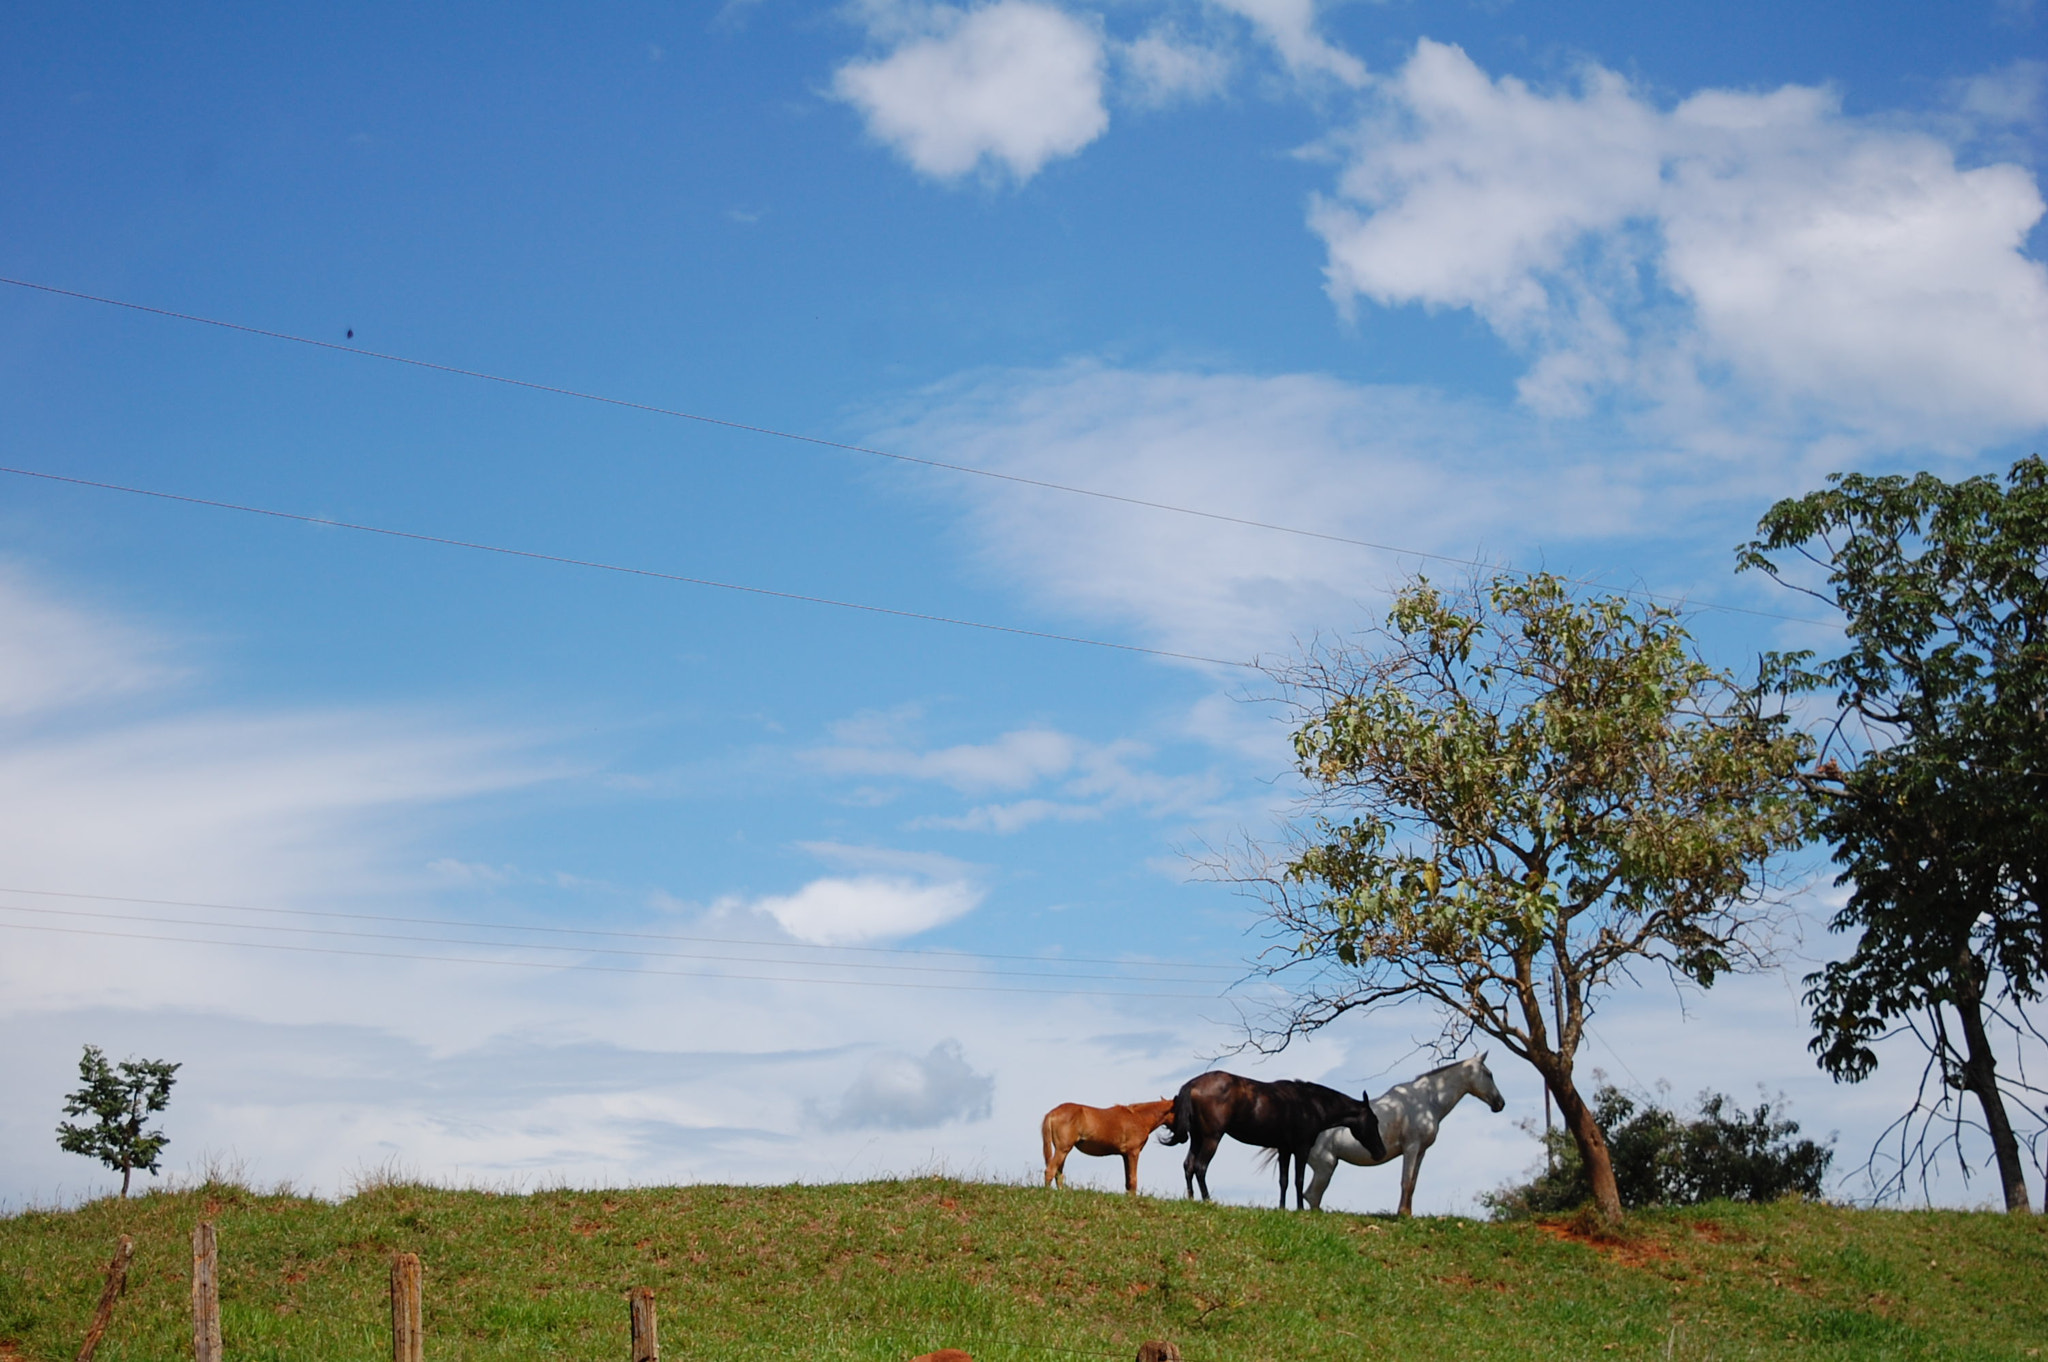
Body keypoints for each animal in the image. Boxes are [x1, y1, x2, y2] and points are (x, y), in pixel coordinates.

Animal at [1040, 1098, 1175, 1196]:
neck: (1139, 1118)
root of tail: (1052, 1112)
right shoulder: (1133, 1153)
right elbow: (1133, 1180)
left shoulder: (1125, 1155)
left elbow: (1128, 1181)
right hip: (1062, 1149)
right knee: (1050, 1171)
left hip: (1063, 1150)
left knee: (1058, 1173)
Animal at [1156, 1071, 1386, 1208]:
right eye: (1374, 1120)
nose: (1381, 1152)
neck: (1310, 1103)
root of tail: (1193, 1084)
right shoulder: (1301, 1148)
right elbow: (1299, 1180)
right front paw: (1300, 1209)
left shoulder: (1284, 1149)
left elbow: (1283, 1181)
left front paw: (1282, 1208)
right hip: (1212, 1138)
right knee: (1200, 1167)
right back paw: (1208, 1200)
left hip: (1197, 1138)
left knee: (1188, 1165)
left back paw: (1192, 1198)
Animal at [1298, 1053, 1506, 1215]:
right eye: (1489, 1074)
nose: (1500, 1103)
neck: (1426, 1100)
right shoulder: (1411, 1147)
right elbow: (1405, 1181)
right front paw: (1402, 1214)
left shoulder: (1421, 1151)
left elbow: (1412, 1183)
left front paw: (1408, 1213)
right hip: (1325, 1166)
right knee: (1312, 1195)